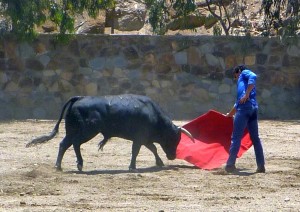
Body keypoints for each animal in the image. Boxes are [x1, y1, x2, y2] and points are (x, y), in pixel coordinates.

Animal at [27, 95, 193, 171]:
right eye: (174, 139)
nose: (172, 156)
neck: (153, 114)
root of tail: (79, 98)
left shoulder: (145, 138)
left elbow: (153, 148)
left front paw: (159, 162)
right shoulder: (140, 138)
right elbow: (137, 151)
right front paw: (132, 167)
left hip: (72, 131)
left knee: (64, 144)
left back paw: (59, 166)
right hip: (87, 131)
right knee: (75, 143)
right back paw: (78, 164)